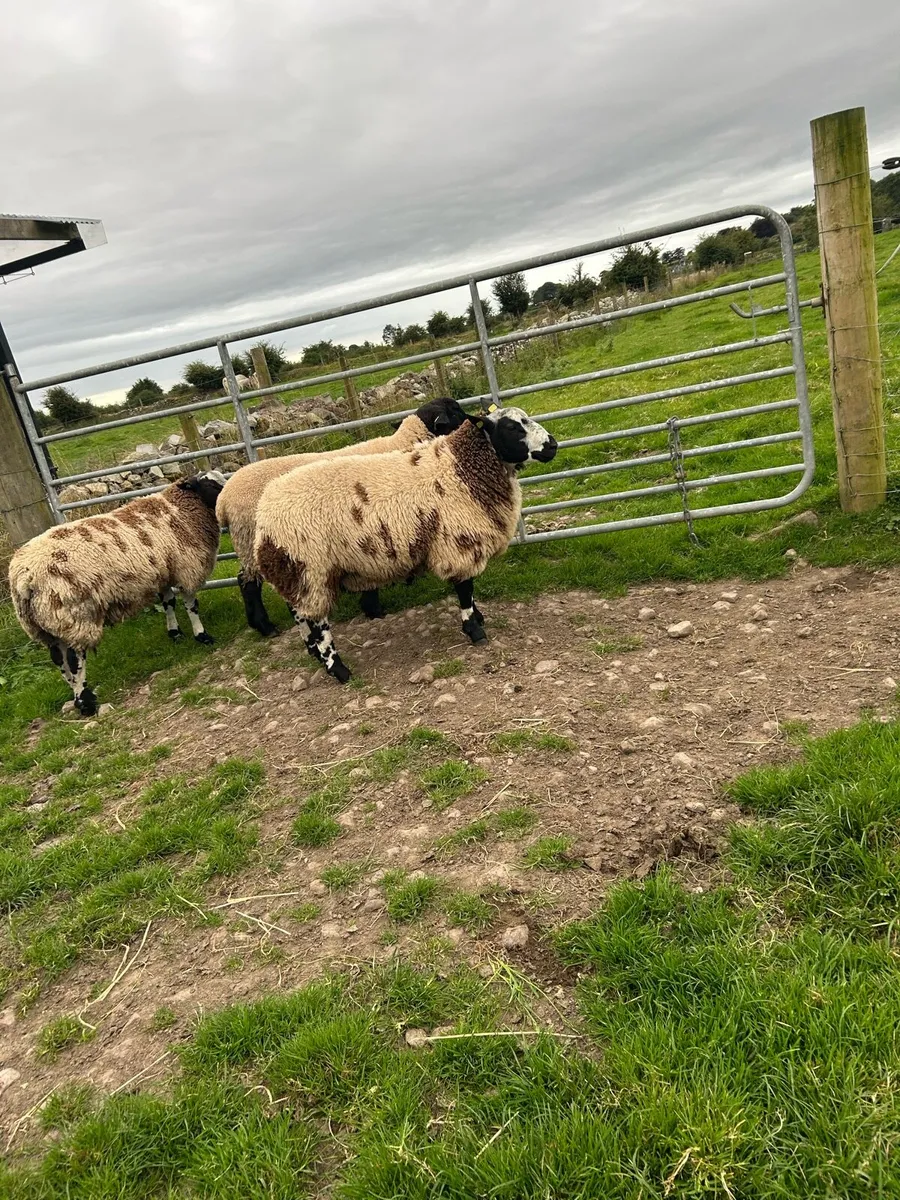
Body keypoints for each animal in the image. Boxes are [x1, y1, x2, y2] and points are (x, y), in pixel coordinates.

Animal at [7, 472, 226, 716]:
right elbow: (191, 606)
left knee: (59, 660)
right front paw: (202, 636)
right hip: (74, 615)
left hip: (47, 623)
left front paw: (175, 633)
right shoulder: (187, 568)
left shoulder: (163, 571)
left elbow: (168, 602)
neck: (179, 507)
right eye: (210, 485)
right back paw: (85, 702)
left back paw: (76, 694)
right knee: (74, 660)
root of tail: (23, 577)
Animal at [216, 395, 468, 637]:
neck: (398, 446)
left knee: (246, 579)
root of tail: (223, 499)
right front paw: (375, 606)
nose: (474, 421)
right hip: (256, 540)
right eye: (455, 412)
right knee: (249, 583)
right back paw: (265, 627)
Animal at [253, 406, 558, 683]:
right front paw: (475, 630)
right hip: (311, 570)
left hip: (296, 573)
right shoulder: (458, 542)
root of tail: (264, 513)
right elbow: (465, 589)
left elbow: (468, 590)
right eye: (512, 427)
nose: (553, 445)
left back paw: (315, 653)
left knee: (301, 616)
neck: (460, 468)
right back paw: (338, 670)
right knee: (318, 625)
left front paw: (478, 618)